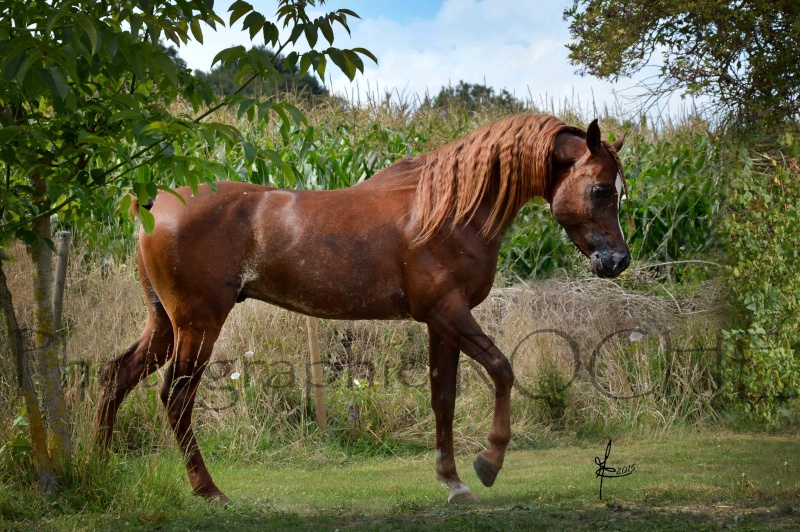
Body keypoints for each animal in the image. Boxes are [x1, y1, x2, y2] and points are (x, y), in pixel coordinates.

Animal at [95, 114, 632, 504]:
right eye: (601, 189)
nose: (617, 261)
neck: (447, 210)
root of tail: (153, 204)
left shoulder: (440, 323)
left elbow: (443, 398)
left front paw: (453, 482)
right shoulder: (450, 313)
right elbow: (502, 369)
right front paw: (489, 463)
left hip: (163, 324)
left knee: (116, 375)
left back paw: (99, 465)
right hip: (197, 325)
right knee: (176, 397)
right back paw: (208, 491)